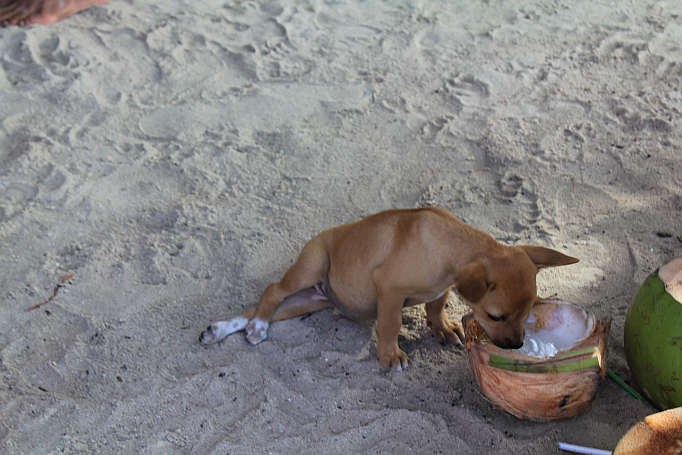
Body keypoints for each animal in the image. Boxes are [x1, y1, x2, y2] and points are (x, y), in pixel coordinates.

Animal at [199, 208, 576, 372]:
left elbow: (435, 306)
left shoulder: (442, 287)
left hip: (310, 301)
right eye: (495, 316)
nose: (516, 345)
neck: (447, 246)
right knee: (272, 291)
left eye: (529, 312)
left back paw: (222, 329)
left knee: (262, 307)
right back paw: (256, 328)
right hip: (311, 267)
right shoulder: (390, 289)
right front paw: (390, 355)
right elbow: (391, 324)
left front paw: (443, 328)